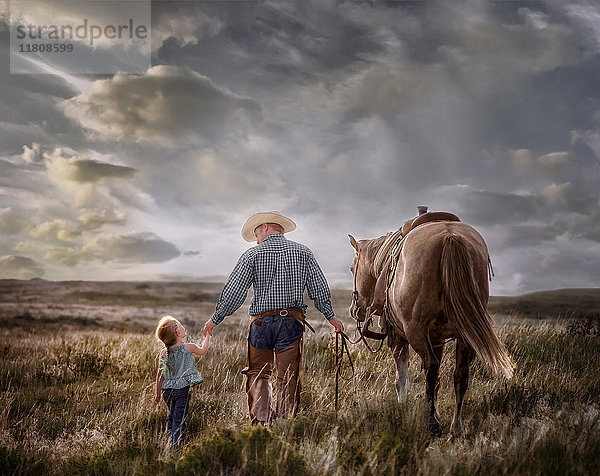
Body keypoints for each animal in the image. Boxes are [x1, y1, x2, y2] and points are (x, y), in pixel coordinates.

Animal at [350, 216, 512, 438]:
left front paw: (403, 407)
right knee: (460, 375)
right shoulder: (437, 339)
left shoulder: (400, 338)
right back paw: (455, 428)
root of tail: (450, 237)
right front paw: (436, 413)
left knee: (431, 369)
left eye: (352, 269)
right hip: (464, 336)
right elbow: (437, 383)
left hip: (415, 331)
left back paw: (432, 425)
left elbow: (402, 379)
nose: (354, 310)